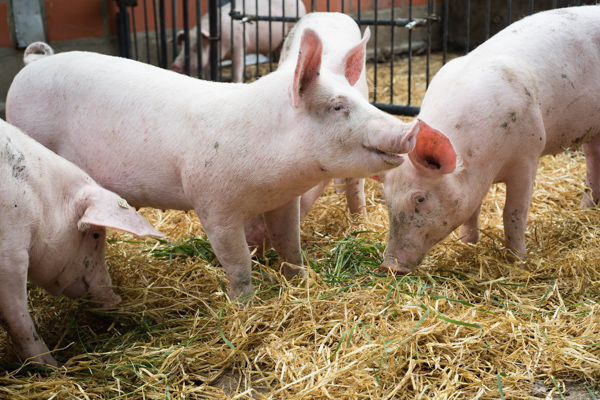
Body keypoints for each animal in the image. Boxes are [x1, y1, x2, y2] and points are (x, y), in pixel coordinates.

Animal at [0, 118, 164, 366]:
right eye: (95, 235)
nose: (116, 299)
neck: (41, 202)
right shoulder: (10, 257)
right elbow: (19, 320)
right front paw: (52, 366)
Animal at [8, 29, 422, 302]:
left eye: (360, 98)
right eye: (338, 106)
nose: (410, 131)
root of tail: (33, 62)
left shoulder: (283, 202)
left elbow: (290, 244)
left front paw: (302, 281)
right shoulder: (213, 206)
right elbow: (237, 263)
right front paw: (246, 306)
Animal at [171, 0, 308, 81]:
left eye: (195, 48)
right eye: (182, 46)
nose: (174, 65)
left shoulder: (239, 45)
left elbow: (237, 69)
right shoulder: (209, 60)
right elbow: (208, 72)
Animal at [376, 6, 600, 274]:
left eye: (420, 198)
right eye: (386, 198)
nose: (389, 266)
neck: (487, 165)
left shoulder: (528, 156)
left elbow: (513, 213)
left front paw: (518, 261)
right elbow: (473, 207)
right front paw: (468, 243)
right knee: (593, 156)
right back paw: (585, 208)